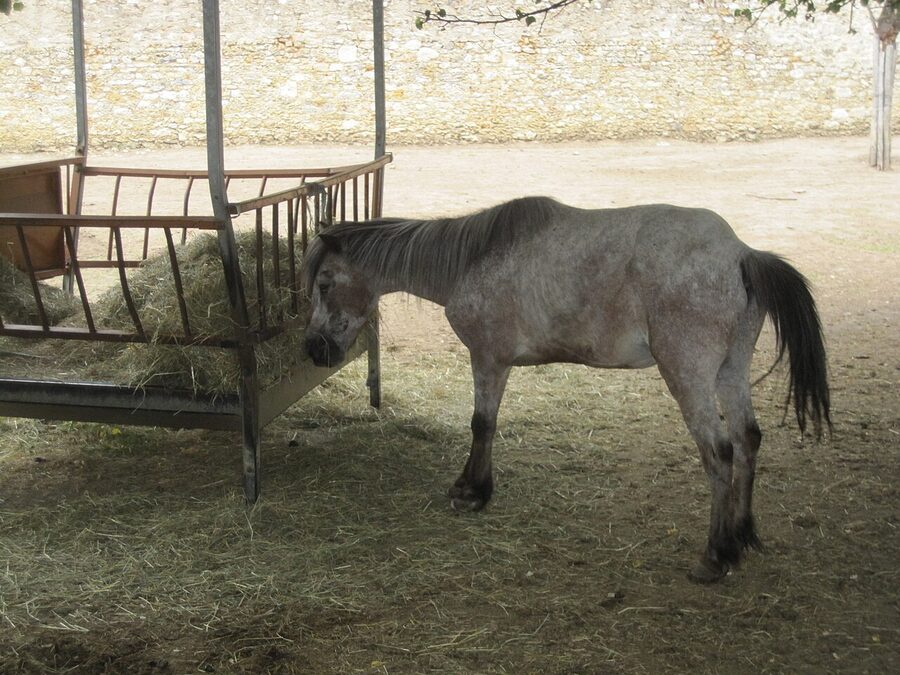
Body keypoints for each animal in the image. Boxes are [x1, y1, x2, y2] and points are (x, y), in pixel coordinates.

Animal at [302, 196, 831, 583]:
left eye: (325, 283)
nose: (313, 348)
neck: (474, 259)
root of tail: (741, 253)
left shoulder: (489, 359)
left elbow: (482, 424)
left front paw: (472, 491)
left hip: (690, 376)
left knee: (720, 452)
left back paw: (715, 555)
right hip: (730, 372)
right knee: (748, 439)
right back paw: (742, 534)